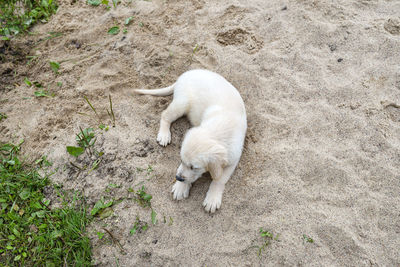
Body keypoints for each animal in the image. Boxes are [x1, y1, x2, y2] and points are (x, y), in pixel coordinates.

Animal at [135, 69, 247, 214]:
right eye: (181, 160)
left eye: (194, 167)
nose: (178, 178)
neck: (218, 129)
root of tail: (186, 74)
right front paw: (180, 187)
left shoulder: (233, 160)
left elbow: (219, 179)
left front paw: (212, 198)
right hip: (182, 102)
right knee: (165, 115)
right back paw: (164, 135)